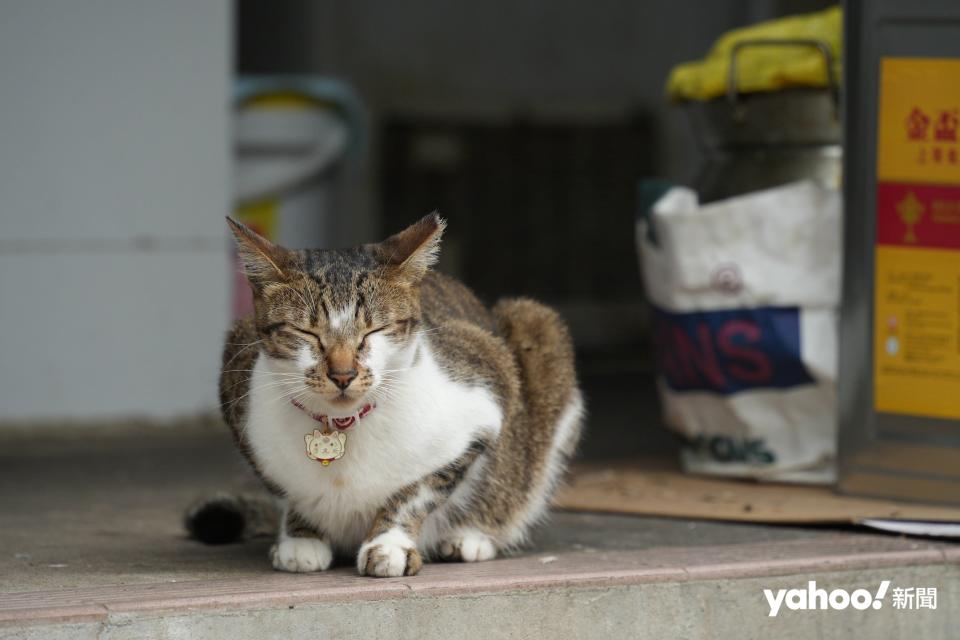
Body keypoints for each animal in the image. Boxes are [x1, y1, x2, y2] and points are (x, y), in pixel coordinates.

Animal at [193, 212, 584, 576]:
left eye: (374, 331)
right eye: (307, 332)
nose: (343, 374)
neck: (341, 424)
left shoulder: (484, 402)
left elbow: (417, 491)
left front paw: (388, 545)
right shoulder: (240, 396)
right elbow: (284, 490)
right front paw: (300, 537)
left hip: (536, 325)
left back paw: (470, 537)